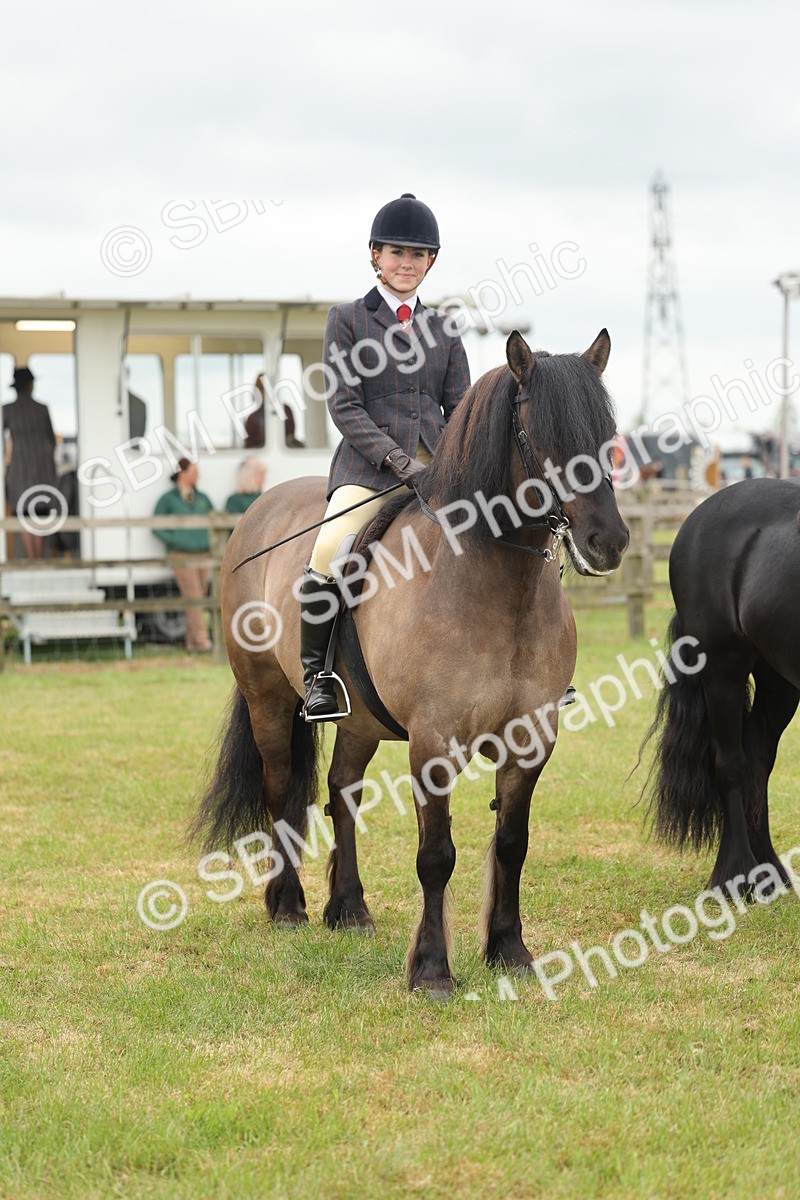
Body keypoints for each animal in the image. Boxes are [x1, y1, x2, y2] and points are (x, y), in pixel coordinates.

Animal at [192, 329, 630, 997]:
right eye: (541, 434)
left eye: (608, 432)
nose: (609, 541)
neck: (493, 582)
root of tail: (259, 508)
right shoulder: (433, 742)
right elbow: (436, 856)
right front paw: (431, 970)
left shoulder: (531, 738)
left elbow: (512, 843)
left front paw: (509, 950)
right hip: (269, 699)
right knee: (281, 789)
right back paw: (288, 904)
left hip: (359, 721)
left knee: (341, 791)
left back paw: (348, 908)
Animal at [644, 477, 800, 896]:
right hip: (722, 670)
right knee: (731, 763)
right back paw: (736, 875)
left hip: (778, 679)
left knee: (757, 757)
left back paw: (767, 871)